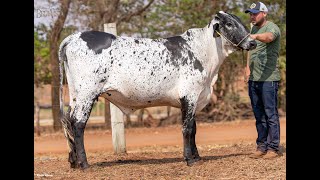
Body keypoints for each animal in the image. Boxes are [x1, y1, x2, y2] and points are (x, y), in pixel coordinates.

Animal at [58, 10, 256, 169]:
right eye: (229, 24)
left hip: (75, 94)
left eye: (241, 21)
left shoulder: (196, 98)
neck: (204, 51)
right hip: (87, 94)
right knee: (78, 124)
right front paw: (189, 159)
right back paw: (84, 163)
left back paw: (74, 161)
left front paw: (197, 157)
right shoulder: (189, 96)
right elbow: (187, 129)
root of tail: (74, 37)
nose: (252, 43)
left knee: (68, 122)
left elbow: (194, 128)